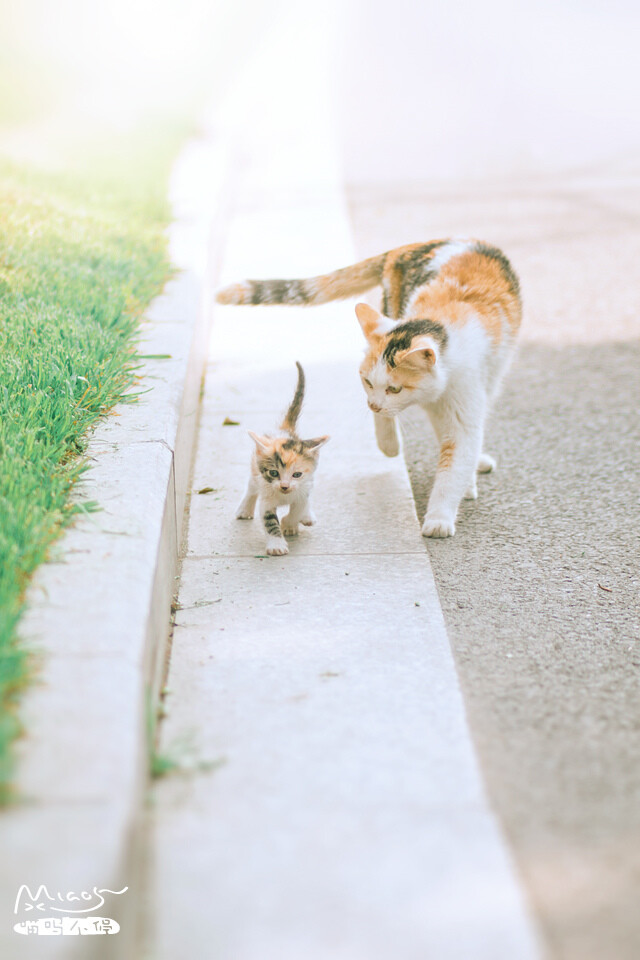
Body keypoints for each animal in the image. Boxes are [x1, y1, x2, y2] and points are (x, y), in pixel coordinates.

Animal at [239, 360, 332, 556]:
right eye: (274, 473)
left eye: (296, 474)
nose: (284, 486)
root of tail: (284, 431)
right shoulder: (266, 498)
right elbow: (269, 521)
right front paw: (277, 545)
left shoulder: (303, 488)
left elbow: (299, 507)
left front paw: (289, 524)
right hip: (255, 473)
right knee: (251, 488)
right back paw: (244, 508)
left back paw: (307, 517)